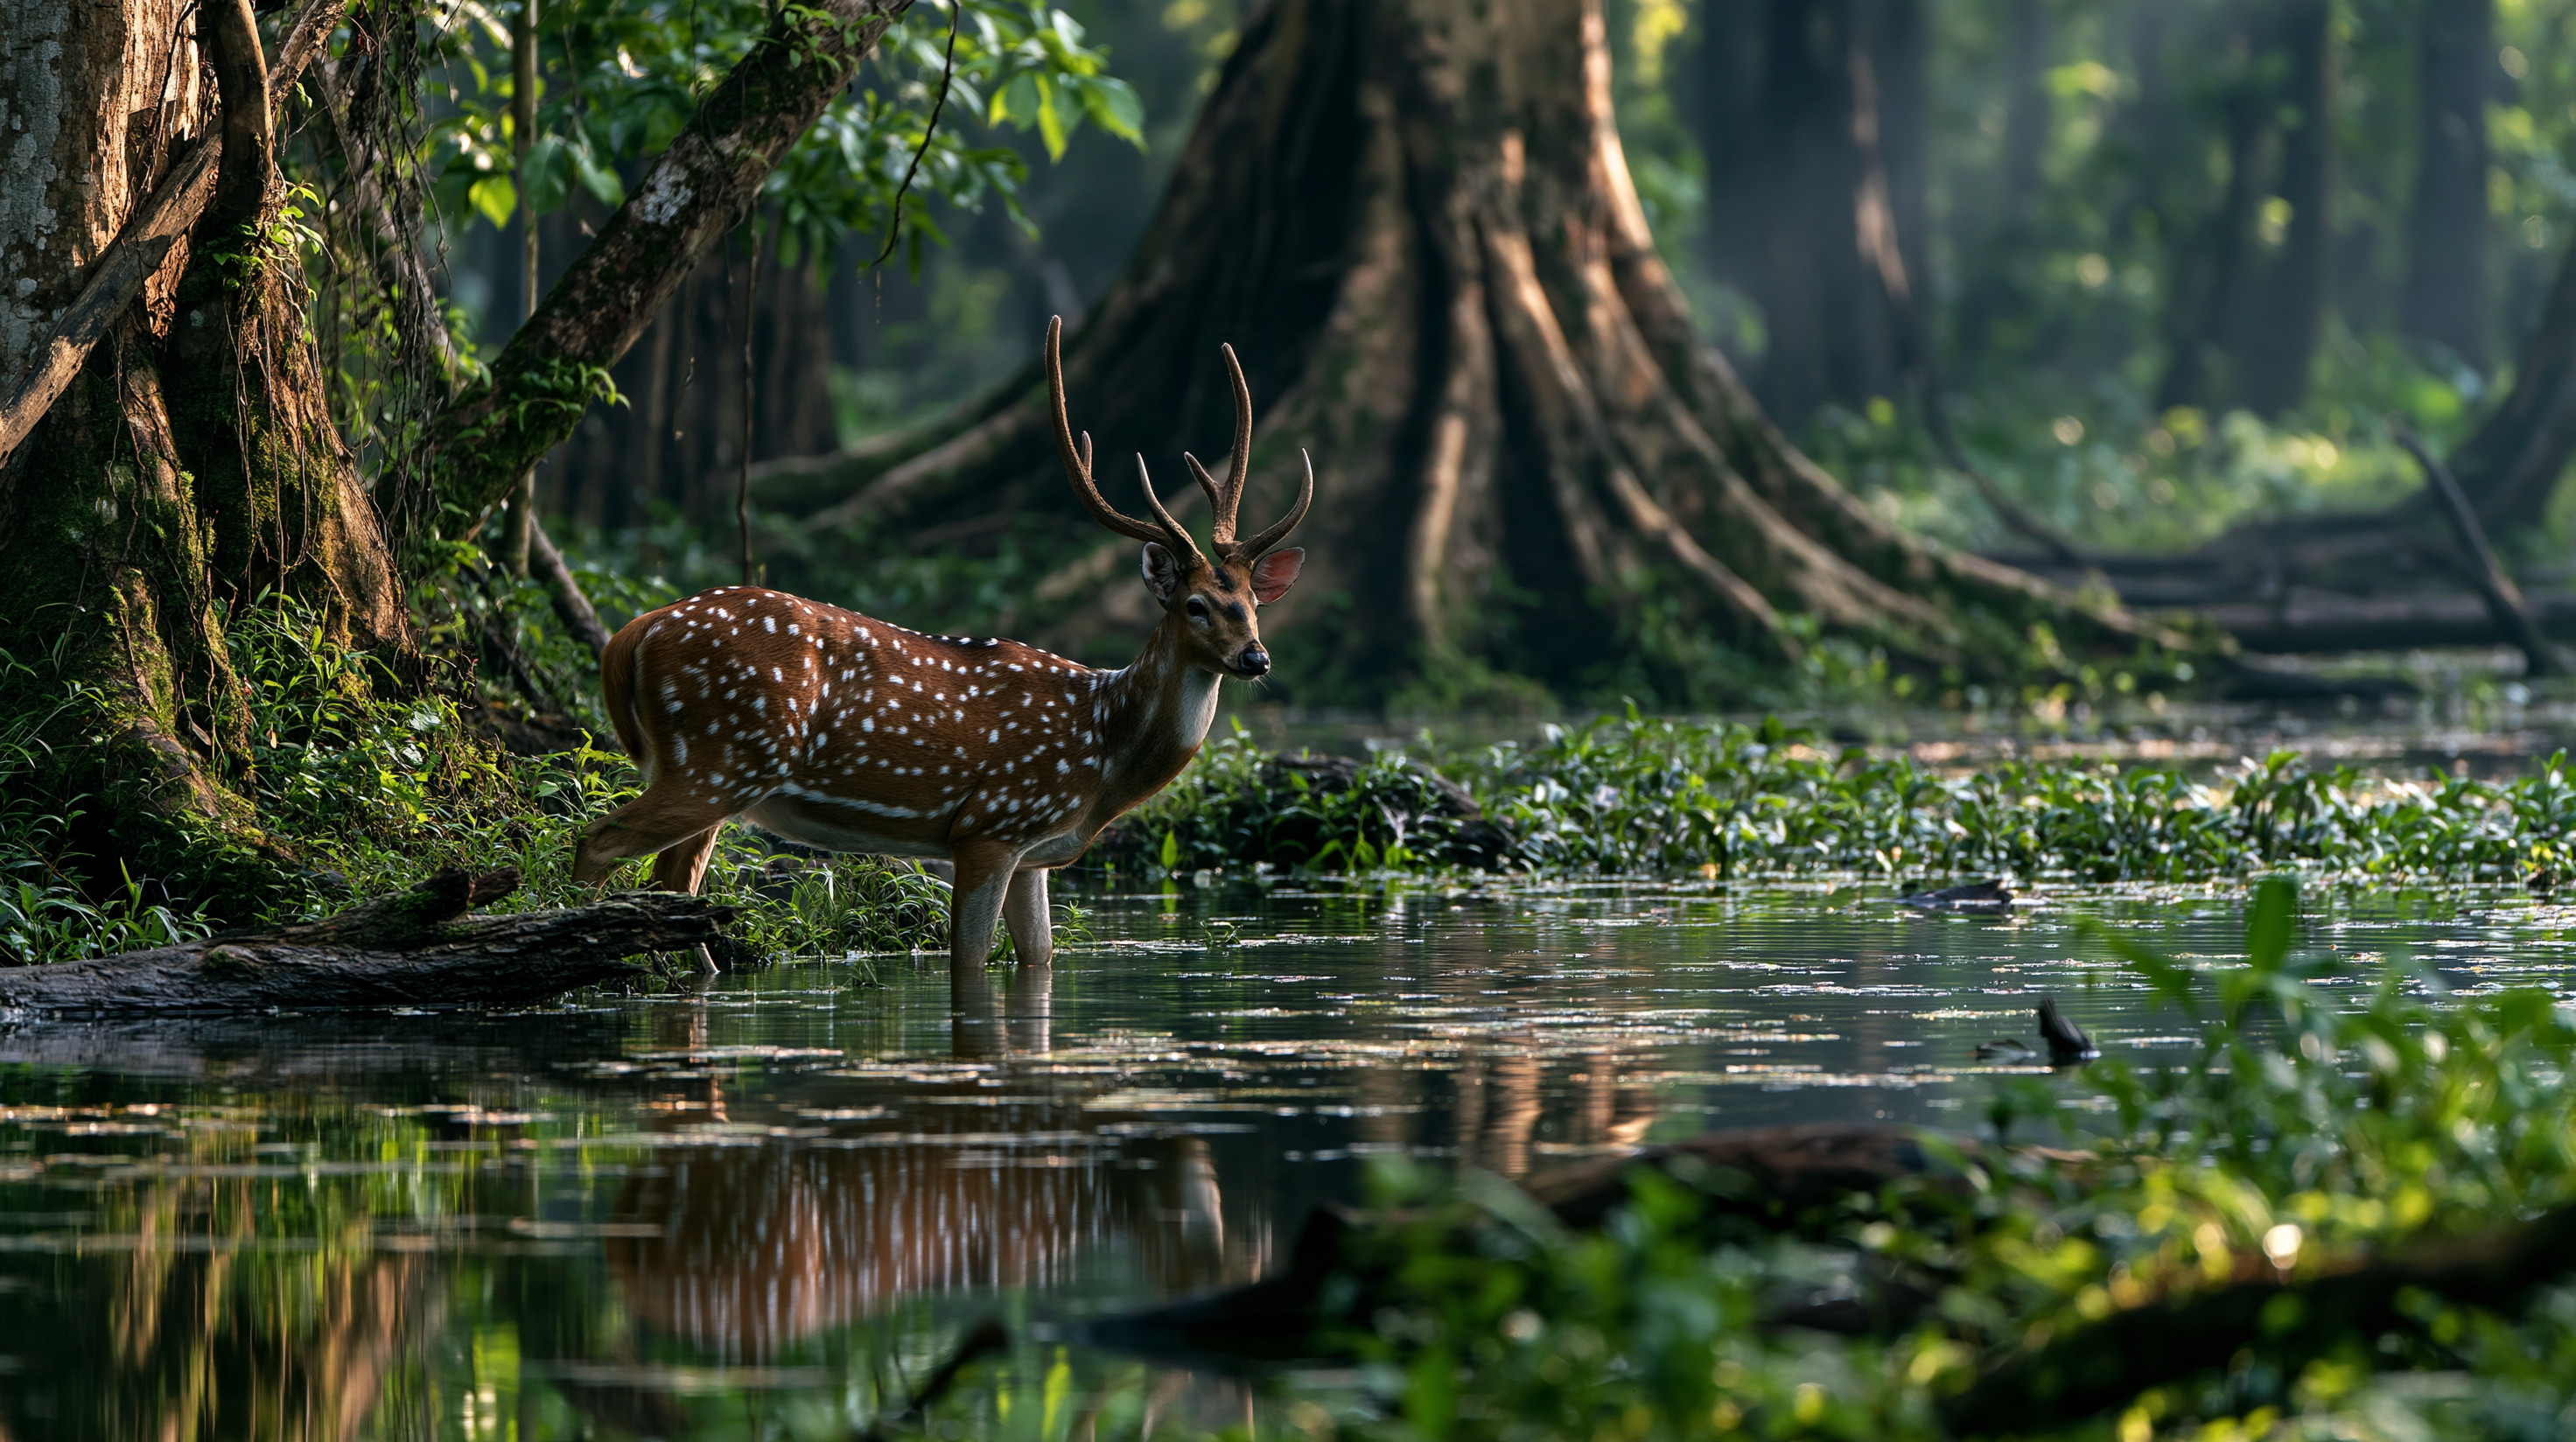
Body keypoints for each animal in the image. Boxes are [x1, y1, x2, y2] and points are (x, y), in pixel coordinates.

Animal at [572, 316, 1309, 987]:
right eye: (1195, 605)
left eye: (1253, 601)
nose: (1256, 659)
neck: (1101, 755)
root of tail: (635, 632)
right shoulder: (991, 823)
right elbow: (971, 962)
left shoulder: (1034, 854)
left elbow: (1040, 960)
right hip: (719, 757)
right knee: (600, 843)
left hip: (721, 771)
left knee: (674, 882)